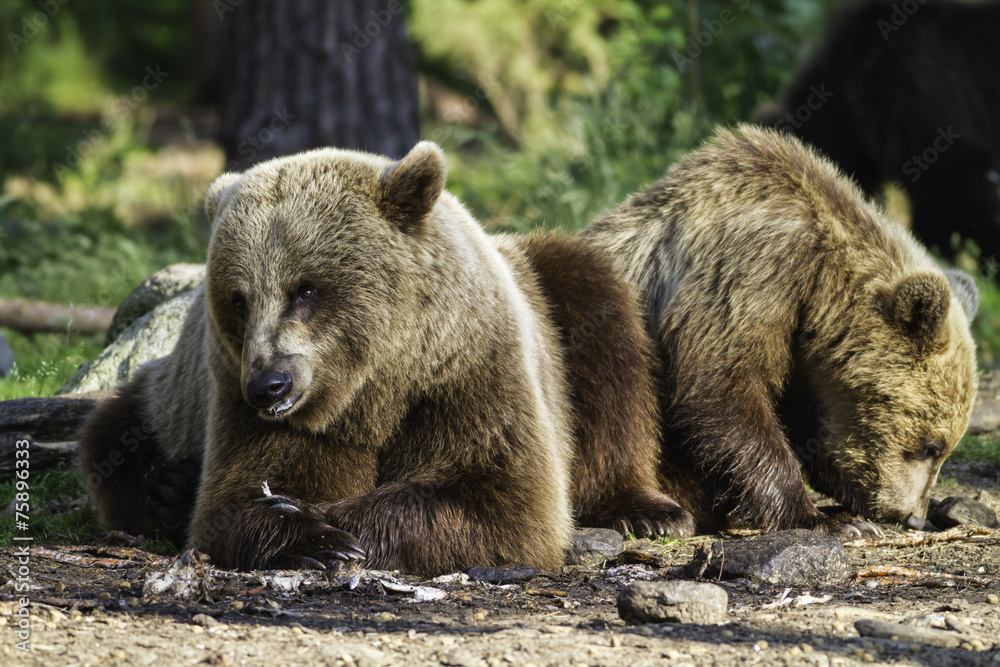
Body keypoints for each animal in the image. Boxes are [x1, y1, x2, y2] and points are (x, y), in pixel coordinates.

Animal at [77, 141, 692, 577]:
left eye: (306, 289)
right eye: (238, 298)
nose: (270, 385)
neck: (374, 379)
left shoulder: (466, 367)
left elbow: (499, 497)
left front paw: (337, 529)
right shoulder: (255, 403)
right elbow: (237, 498)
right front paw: (314, 539)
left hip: (555, 293)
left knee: (603, 333)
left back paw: (646, 509)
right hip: (171, 394)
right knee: (112, 434)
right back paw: (166, 488)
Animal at [583, 125, 979, 538]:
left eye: (944, 448)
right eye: (931, 445)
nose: (913, 515)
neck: (820, 288)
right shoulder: (754, 266)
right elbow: (719, 387)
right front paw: (825, 519)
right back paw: (650, 513)